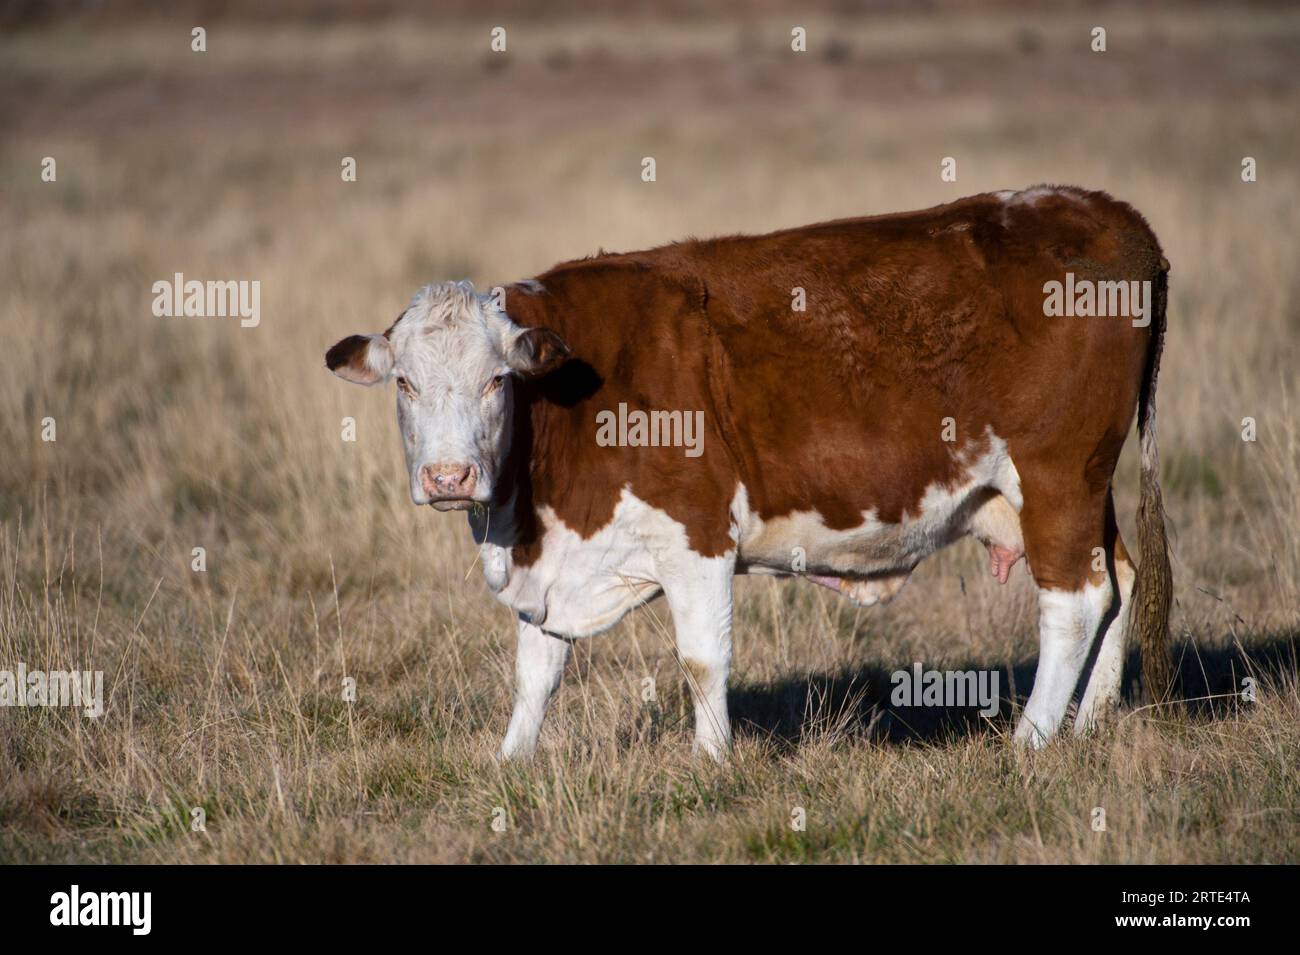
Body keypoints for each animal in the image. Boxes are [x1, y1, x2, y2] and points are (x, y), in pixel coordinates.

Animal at [322, 187, 1170, 764]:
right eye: (405, 383)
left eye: (497, 379)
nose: (449, 476)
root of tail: (1106, 211)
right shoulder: (554, 560)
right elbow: (537, 669)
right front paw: (510, 761)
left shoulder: (695, 533)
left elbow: (703, 656)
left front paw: (709, 760)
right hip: (1072, 486)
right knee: (1118, 579)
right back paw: (1090, 723)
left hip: (1057, 474)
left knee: (1074, 599)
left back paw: (1032, 740)